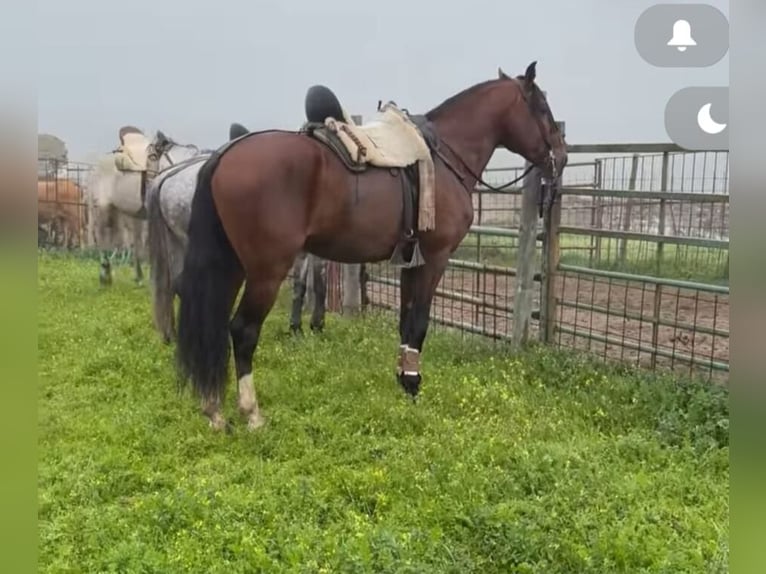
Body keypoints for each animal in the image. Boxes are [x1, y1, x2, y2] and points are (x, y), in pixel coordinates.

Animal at [86, 128, 204, 286]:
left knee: (131, 241)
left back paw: (137, 277)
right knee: (102, 236)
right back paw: (105, 275)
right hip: (103, 207)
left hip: (126, 212)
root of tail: (95, 168)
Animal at [177, 63, 568, 432]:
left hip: (232, 268)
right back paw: (252, 414)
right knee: (242, 330)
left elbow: (406, 324)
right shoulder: (435, 258)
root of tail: (225, 155)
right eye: (542, 108)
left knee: (214, 327)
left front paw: (405, 382)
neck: (442, 155)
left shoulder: (411, 261)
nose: (561, 157)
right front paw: (413, 386)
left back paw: (214, 411)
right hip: (266, 272)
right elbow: (420, 322)